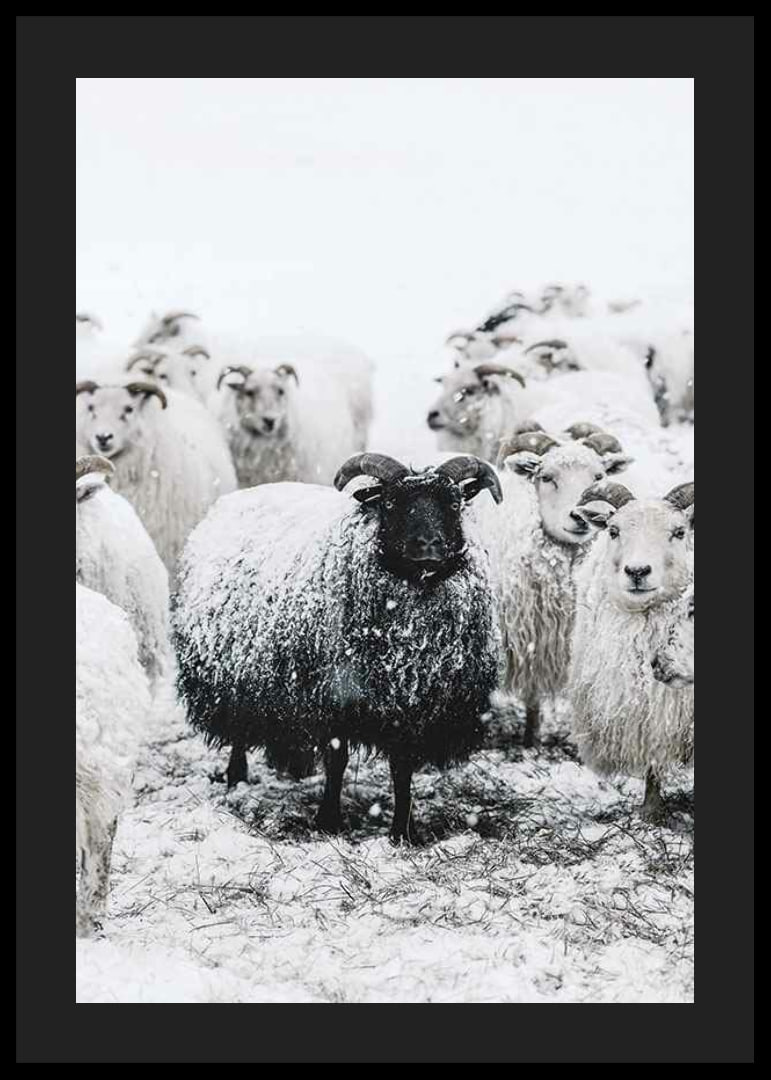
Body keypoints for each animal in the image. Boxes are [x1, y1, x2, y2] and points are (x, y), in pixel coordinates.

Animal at [172, 452, 504, 843]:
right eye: (390, 503)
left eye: (453, 503)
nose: (429, 545)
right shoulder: (332, 697)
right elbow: (337, 760)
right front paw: (328, 821)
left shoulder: (412, 707)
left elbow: (402, 767)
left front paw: (403, 832)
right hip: (234, 676)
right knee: (239, 730)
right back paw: (236, 778)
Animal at [475, 425, 634, 747]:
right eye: (546, 477)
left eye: (598, 477)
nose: (579, 517)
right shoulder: (530, 638)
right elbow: (532, 696)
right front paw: (530, 739)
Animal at [567, 480, 694, 820]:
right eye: (613, 530)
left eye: (679, 532)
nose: (637, 571)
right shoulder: (646, 709)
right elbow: (652, 758)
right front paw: (650, 811)